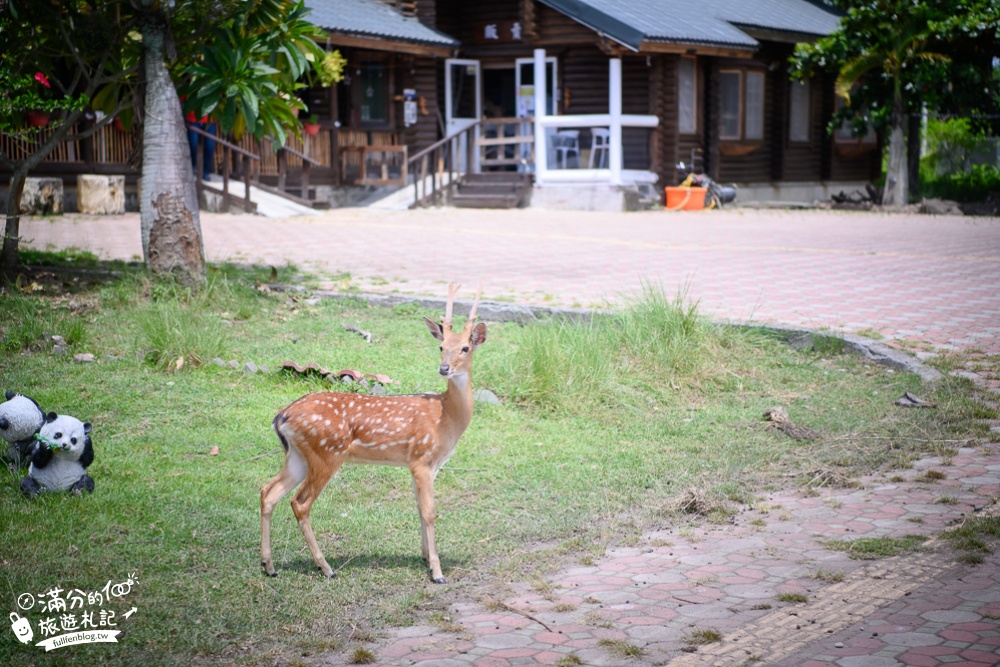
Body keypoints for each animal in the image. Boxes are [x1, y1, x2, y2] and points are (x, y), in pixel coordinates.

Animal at [262, 284, 488, 580]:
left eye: (465, 347)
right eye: (441, 346)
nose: (444, 368)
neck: (445, 417)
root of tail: (282, 416)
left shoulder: (421, 463)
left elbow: (418, 508)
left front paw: (425, 557)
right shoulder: (421, 458)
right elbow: (429, 512)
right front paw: (437, 572)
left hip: (297, 456)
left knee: (268, 491)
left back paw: (269, 566)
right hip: (326, 453)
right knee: (299, 502)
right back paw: (326, 568)